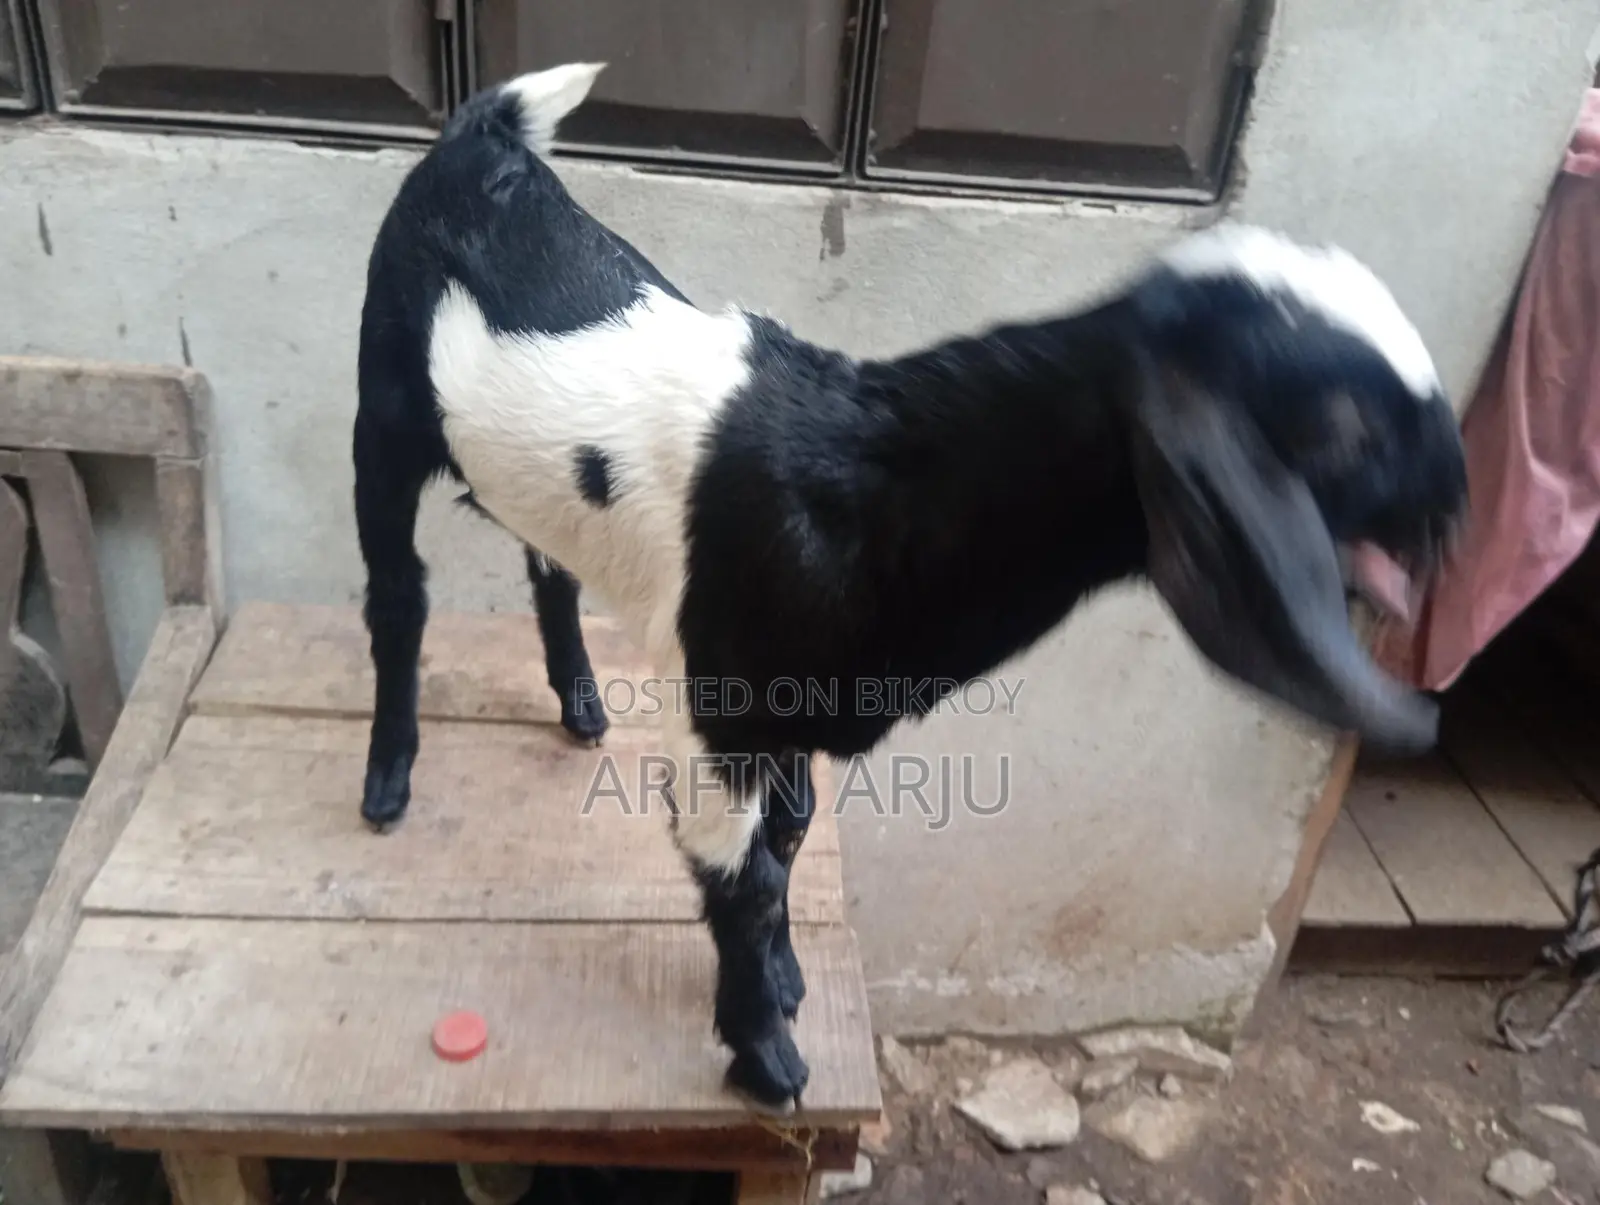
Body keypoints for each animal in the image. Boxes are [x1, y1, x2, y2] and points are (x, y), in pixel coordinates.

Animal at [353, 62, 1468, 1109]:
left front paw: (788, 982)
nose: (1456, 499)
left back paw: (581, 704)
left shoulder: (797, 699)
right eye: (1343, 428)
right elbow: (744, 874)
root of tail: (478, 141)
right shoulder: (724, 706)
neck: (878, 483)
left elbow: (793, 834)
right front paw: (766, 1054)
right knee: (399, 595)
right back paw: (388, 780)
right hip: (382, 411)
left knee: (546, 563)